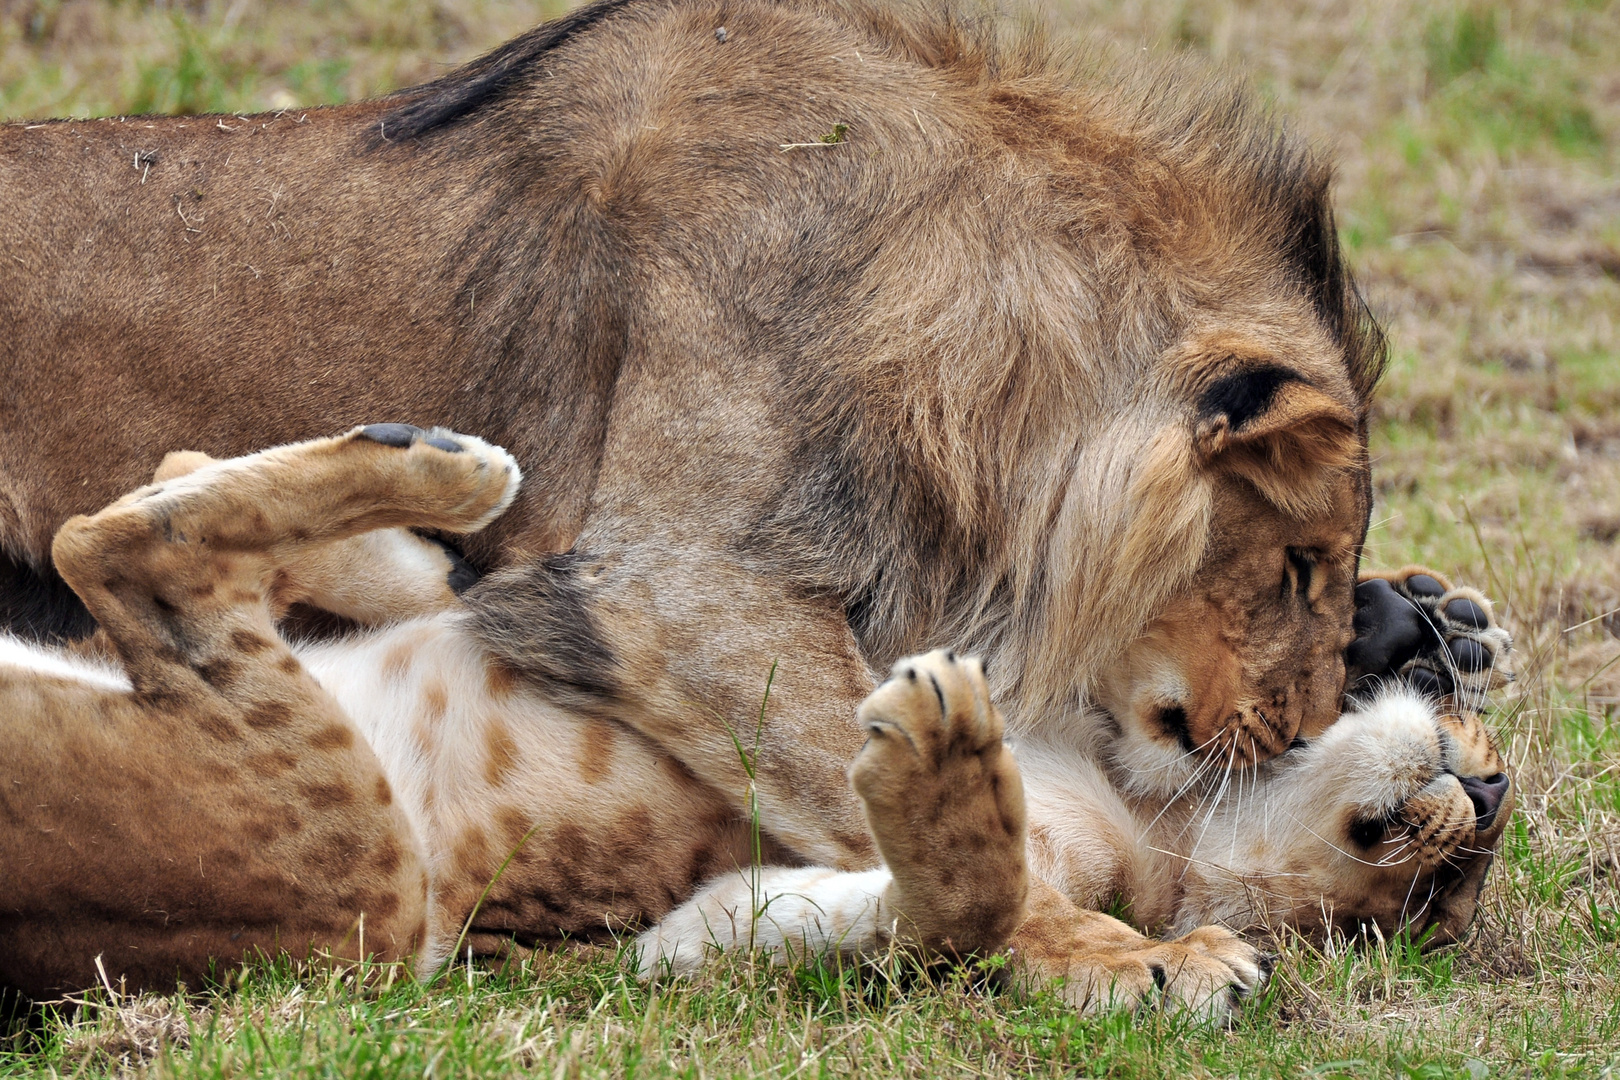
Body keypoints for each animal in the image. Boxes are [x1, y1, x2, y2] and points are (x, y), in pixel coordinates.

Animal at [0, 0, 1516, 1016]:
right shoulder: (670, 588)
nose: (1313, 718)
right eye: (1298, 562)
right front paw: (1128, 958)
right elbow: (969, 840)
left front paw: (1435, 627)